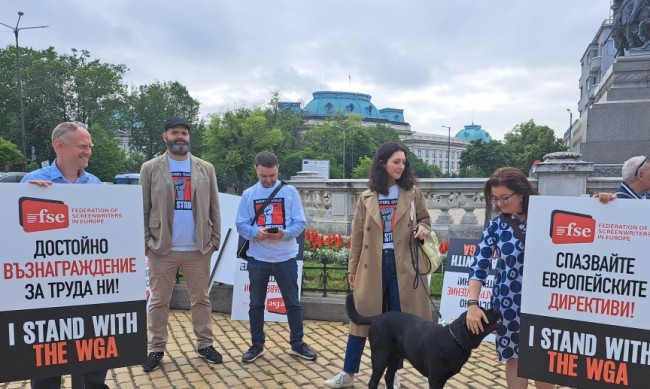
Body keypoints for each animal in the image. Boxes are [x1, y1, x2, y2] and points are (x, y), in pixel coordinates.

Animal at [344, 292, 502, 386]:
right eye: (481, 315)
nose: (496, 308)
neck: (454, 340)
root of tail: (377, 317)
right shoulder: (435, 379)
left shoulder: (442, 379)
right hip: (380, 356)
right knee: (374, 381)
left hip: (395, 357)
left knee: (389, 377)